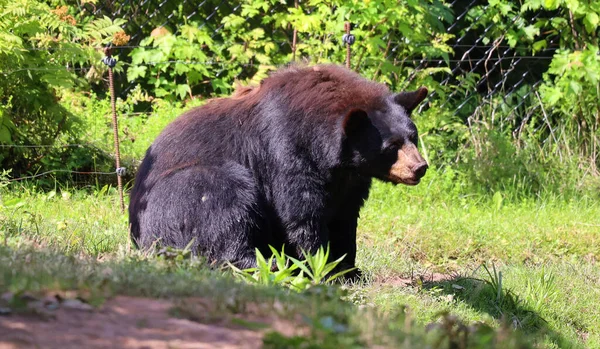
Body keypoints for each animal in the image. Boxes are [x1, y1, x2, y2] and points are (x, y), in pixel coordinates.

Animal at [129, 64, 428, 272]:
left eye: (412, 137)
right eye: (391, 146)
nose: (419, 167)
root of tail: (136, 233)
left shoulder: (349, 180)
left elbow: (345, 216)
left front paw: (349, 269)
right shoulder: (285, 150)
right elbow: (301, 211)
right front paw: (320, 265)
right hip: (179, 198)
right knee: (224, 204)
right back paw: (264, 263)